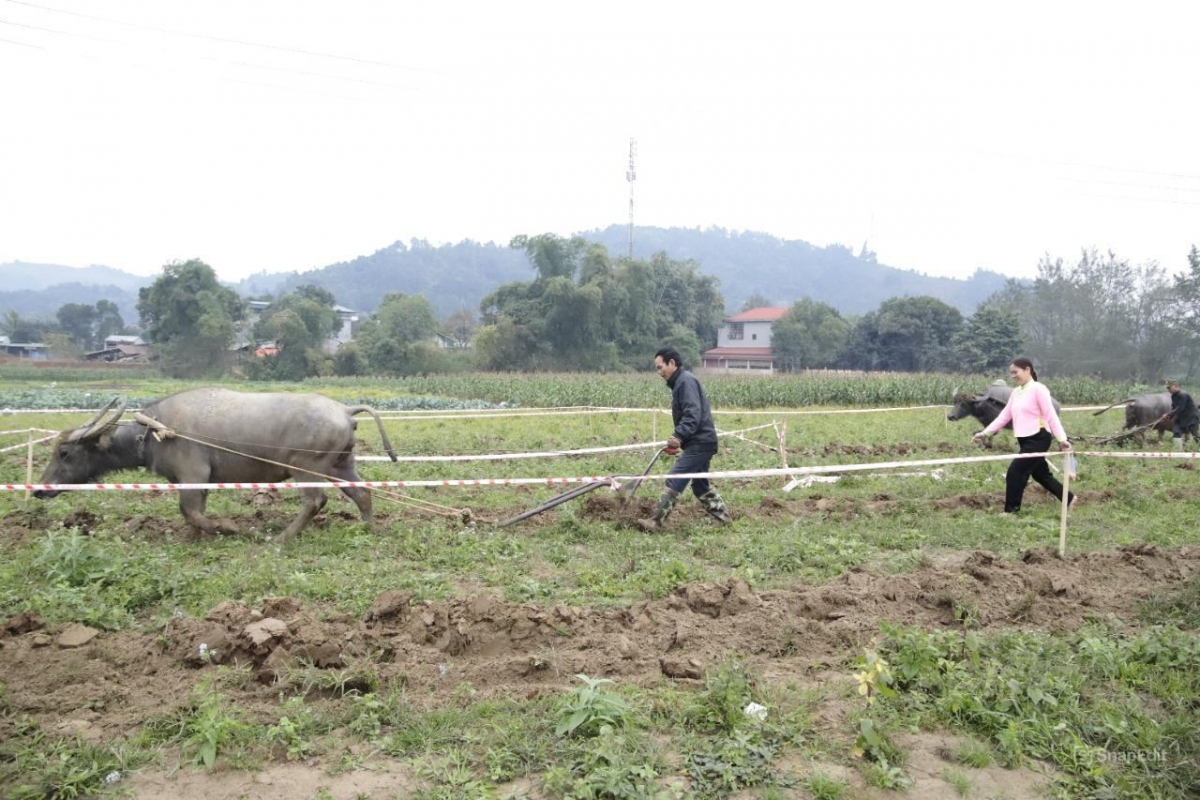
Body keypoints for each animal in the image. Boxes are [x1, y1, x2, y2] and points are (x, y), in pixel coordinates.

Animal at [31, 388, 398, 542]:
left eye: (64, 453)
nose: (38, 489)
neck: (153, 433)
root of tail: (344, 410)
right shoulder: (200, 481)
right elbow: (195, 512)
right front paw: (196, 537)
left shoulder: (193, 475)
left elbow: (189, 510)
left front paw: (227, 527)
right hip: (340, 465)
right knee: (362, 493)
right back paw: (368, 527)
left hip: (306, 468)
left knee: (315, 501)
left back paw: (281, 537)